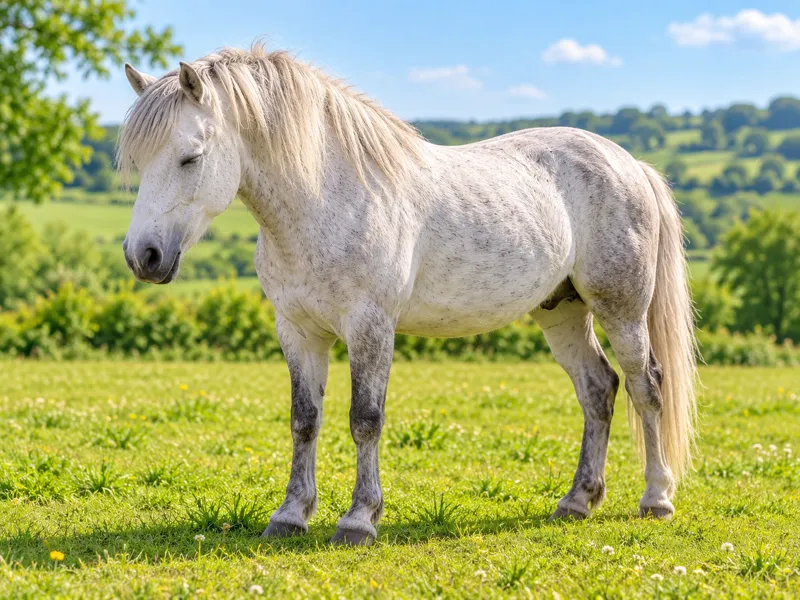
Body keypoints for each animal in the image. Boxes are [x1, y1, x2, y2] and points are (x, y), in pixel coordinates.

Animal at [119, 44, 697, 546]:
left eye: (191, 157)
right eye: (140, 162)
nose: (143, 256)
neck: (326, 199)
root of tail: (631, 164)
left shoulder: (371, 326)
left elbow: (365, 420)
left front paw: (358, 520)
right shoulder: (298, 330)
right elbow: (304, 420)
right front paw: (289, 516)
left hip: (622, 310)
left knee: (646, 387)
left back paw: (656, 499)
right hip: (562, 313)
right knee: (598, 390)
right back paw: (577, 501)